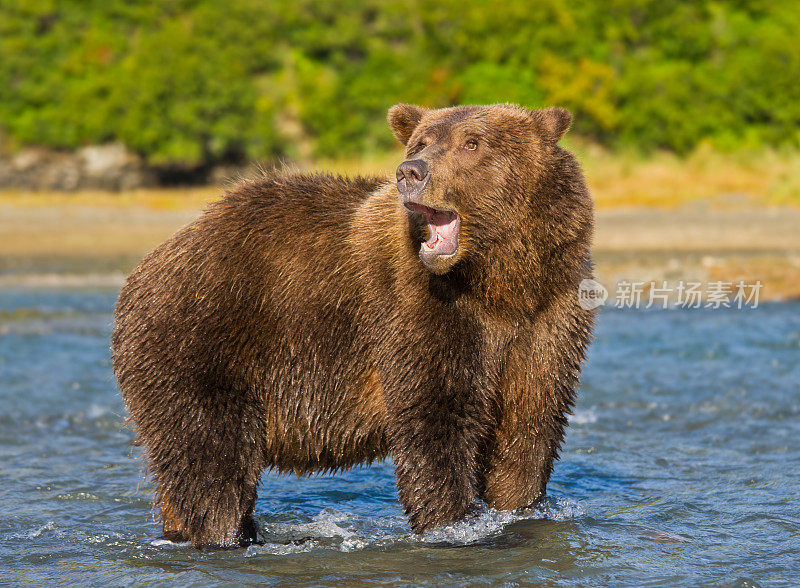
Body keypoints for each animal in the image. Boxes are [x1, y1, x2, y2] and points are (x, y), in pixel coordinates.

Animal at [111, 103, 592, 548]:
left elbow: (528, 428)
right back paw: (225, 534)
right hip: (200, 343)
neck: (497, 282)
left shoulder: (548, 316)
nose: (410, 172)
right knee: (212, 462)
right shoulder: (420, 314)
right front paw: (451, 524)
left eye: (472, 143)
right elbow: (436, 422)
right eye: (419, 142)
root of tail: (151, 262)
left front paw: (516, 511)